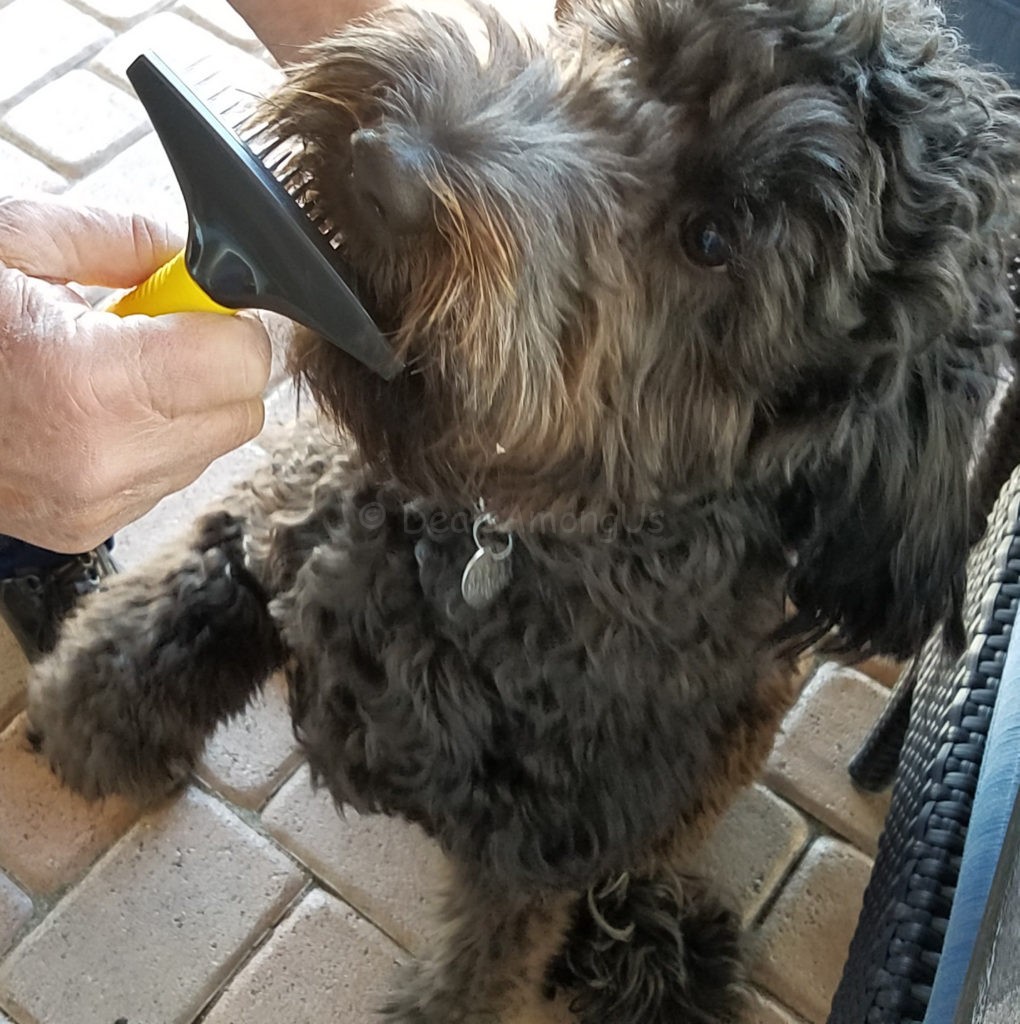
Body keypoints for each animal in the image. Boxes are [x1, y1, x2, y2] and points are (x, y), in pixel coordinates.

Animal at [25, 0, 1020, 1020]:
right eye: (619, 44)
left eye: (712, 238)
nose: (387, 169)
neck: (487, 536)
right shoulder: (286, 517)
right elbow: (173, 601)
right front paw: (85, 719)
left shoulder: (540, 850)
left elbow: (485, 966)